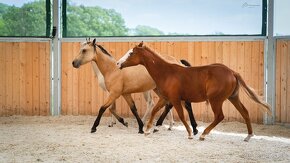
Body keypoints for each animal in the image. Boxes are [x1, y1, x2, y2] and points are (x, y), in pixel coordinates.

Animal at [118, 41, 272, 141]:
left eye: (131, 53)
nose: (118, 63)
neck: (166, 73)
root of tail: (232, 72)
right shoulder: (165, 98)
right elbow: (155, 110)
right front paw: (148, 129)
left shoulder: (175, 99)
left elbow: (181, 115)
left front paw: (190, 133)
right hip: (233, 97)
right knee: (244, 112)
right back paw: (248, 136)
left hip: (216, 100)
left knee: (219, 116)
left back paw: (203, 134)